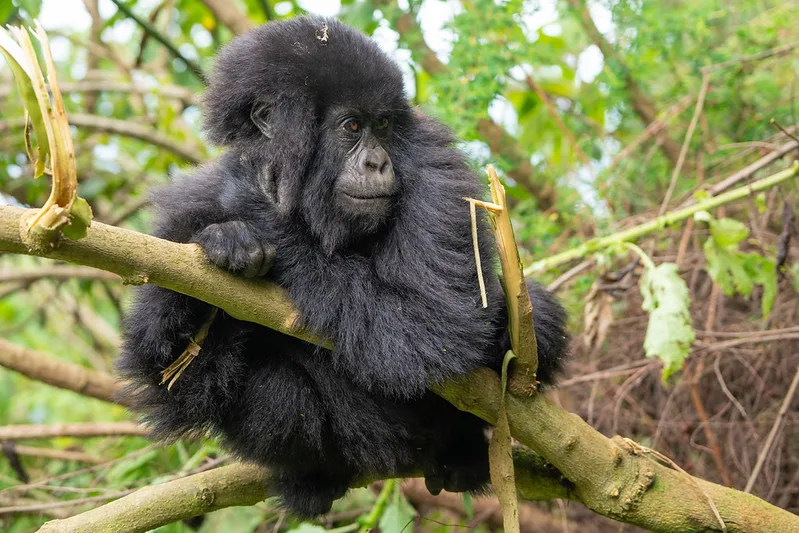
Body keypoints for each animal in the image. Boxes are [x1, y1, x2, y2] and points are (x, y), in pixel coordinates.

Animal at [117, 15, 568, 516]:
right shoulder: (180, 214)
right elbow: (171, 377)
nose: (377, 162)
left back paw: (460, 452)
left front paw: (250, 204)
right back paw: (314, 476)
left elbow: (434, 326)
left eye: (384, 125)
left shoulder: (433, 165)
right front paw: (225, 237)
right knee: (272, 391)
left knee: (532, 316)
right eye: (351, 126)